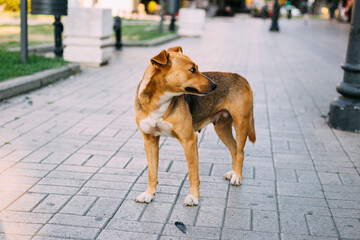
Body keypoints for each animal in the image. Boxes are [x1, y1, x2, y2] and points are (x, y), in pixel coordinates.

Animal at [135, 47, 256, 206]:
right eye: (192, 70)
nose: (215, 86)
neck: (159, 101)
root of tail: (242, 78)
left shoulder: (189, 141)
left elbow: (193, 174)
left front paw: (193, 197)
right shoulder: (150, 140)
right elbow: (152, 172)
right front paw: (149, 194)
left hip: (241, 124)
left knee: (240, 152)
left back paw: (237, 176)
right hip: (221, 129)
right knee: (235, 150)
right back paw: (233, 172)